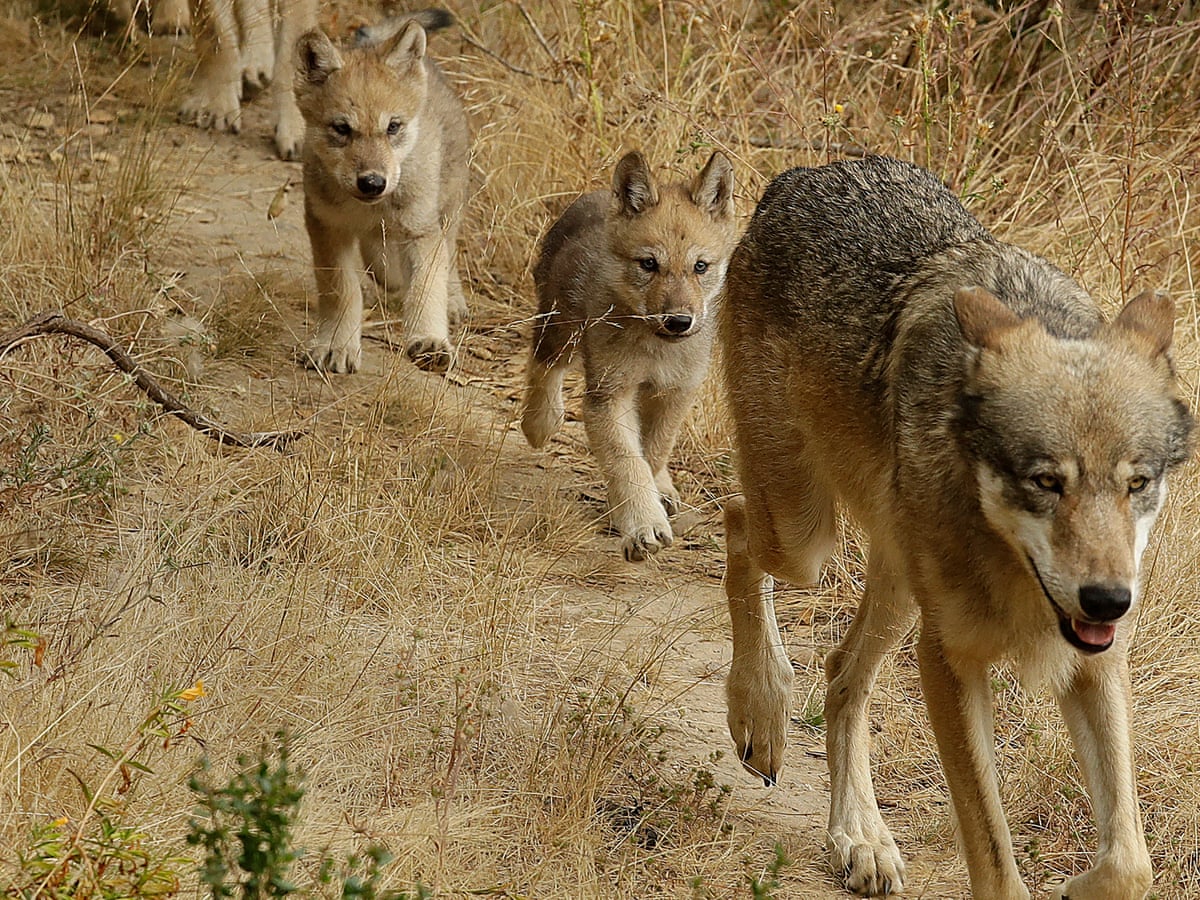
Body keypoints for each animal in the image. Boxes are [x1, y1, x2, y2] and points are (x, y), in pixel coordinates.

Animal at [294, 15, 469, 374]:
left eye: (393, 127)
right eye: (341, 129)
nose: (373, 183)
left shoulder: (421, 231)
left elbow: (426, 287)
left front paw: (430, 340)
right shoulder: (326, 227)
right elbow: (341, 291)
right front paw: (336, 345)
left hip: (447, 209)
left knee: (449, 253)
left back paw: (454, 300)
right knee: (387, 269)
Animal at [521, 150, 736, 561]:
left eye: (700, 267)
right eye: (649, 264)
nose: (679, 321)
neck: (656, 350)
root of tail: (594, 195)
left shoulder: (675, 392)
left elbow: (652, 453)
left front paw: (640, 506)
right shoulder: (608, 395)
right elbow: (627, 461)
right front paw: (642, 525)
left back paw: (664, 490)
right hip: (561, 330)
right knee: (543, 366)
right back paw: (540, 423)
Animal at [719, 156, 1193, 898]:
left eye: (1136, 484)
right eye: (1045, 482)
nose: (1109, 600)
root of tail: (805, 173)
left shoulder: (1096, 661)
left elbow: (1130, 863)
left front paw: (1079, 888)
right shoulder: (949, 660)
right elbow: (994, 857)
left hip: (893, 583)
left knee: (841, 671)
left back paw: (861, 836)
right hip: (804, 538)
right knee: (737, 525)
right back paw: (760, 713)